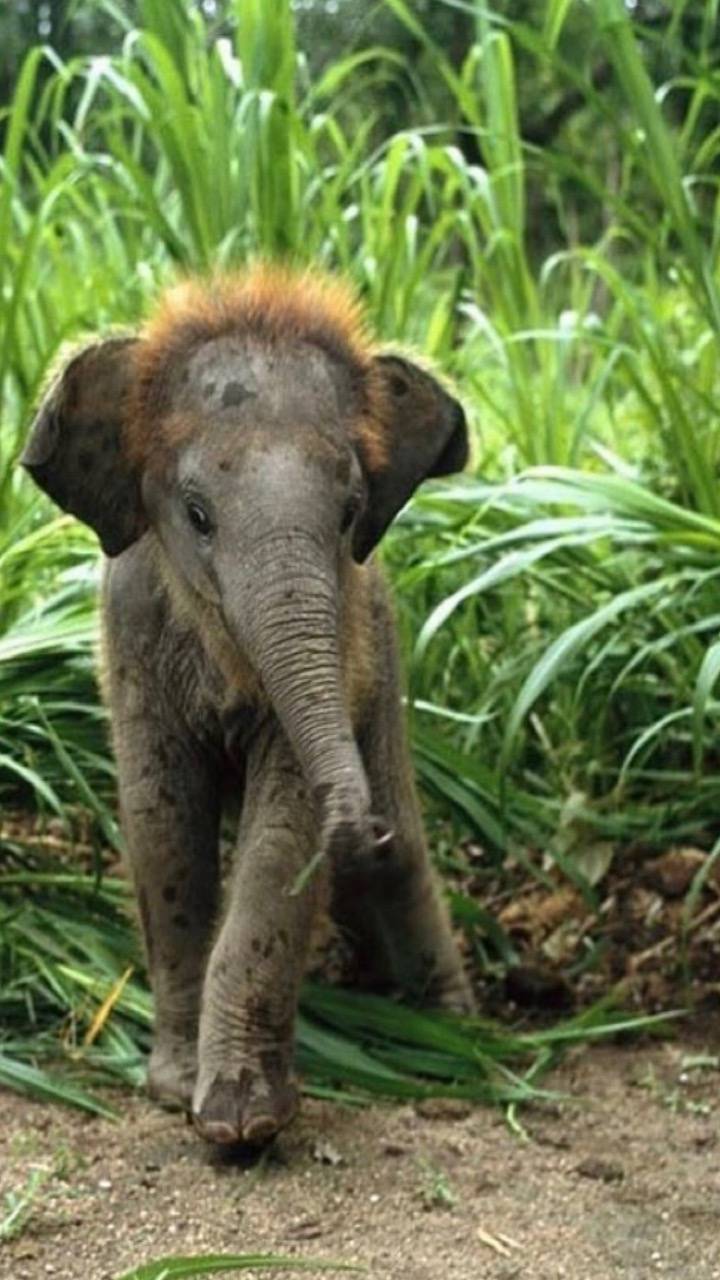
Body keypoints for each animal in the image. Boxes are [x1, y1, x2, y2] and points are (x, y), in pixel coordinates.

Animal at [22, 266, 474, 1146]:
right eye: (197, 516)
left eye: (349, 512)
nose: (359, 822)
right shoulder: (130, 636)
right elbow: (163, 825)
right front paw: (176, 1092)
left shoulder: (348, 642)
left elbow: (279, 837)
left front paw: (240, 1124)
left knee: (400, 868)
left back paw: (461, 1035)